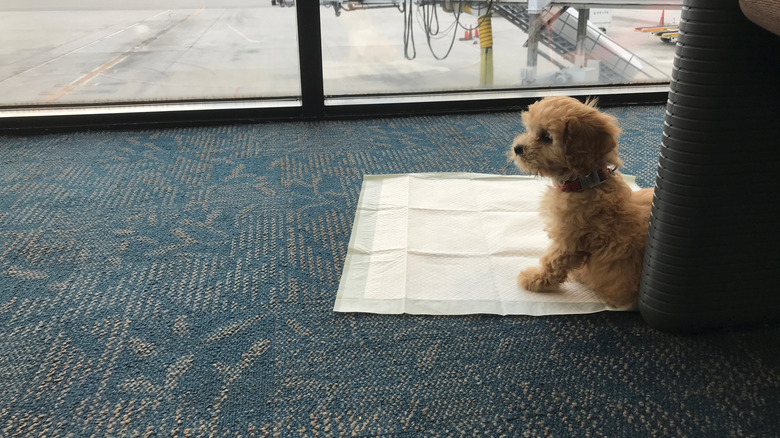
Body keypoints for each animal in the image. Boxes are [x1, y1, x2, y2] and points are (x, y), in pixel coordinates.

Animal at [512, 96, 652, 308]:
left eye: (546, 137)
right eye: (529, 129)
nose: (517, 148)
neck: (585, 182)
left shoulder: (570, 239)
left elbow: (553, 262)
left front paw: (535, 279)